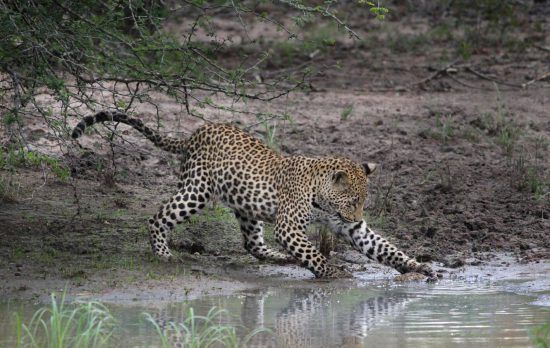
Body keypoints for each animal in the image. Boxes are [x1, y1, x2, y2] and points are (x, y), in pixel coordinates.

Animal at [72, 111, 440, 280]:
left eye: (363, 203)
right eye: (352, 201)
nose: (359, 216)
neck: (321, 197)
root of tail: (196, 132)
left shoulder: (350, 228)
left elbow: (384, 247)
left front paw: (418, 266)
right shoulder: (290, 226)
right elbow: (314, 253)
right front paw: (335, 274)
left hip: (245, 207)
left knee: (252, 244)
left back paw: (279, 258)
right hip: (196, 190)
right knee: (158, 216)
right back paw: (162, 253)